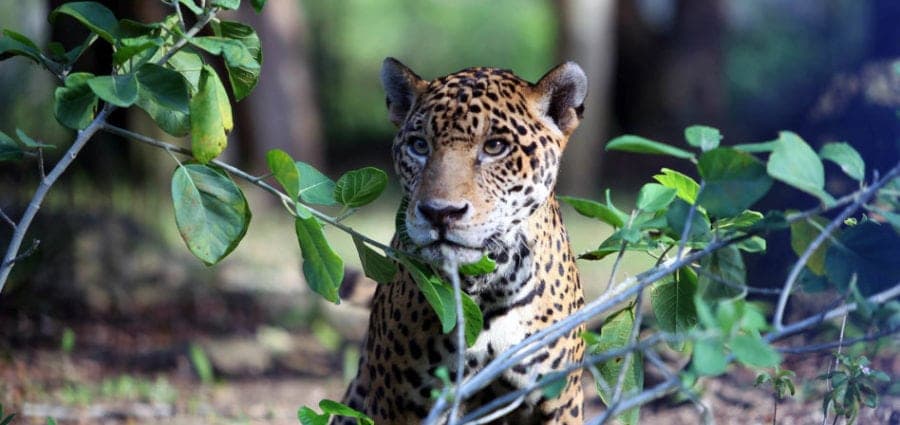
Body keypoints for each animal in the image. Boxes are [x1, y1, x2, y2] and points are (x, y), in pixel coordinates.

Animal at [335, 58, 588, 424]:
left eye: (495, 147)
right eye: (420, 146)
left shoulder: (560, 400)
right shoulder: (401, 404)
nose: (440, 213)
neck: (490, 288)